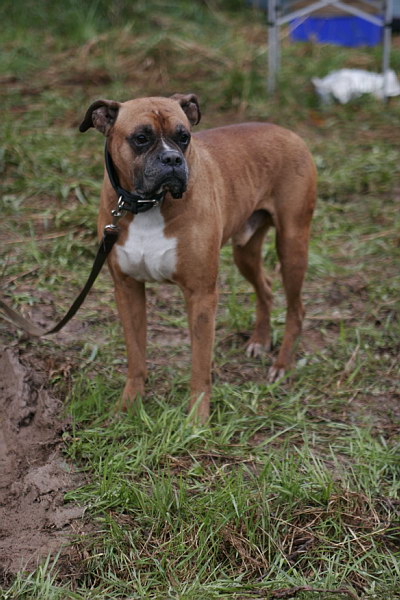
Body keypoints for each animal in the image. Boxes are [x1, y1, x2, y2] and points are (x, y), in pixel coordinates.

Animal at [79, 94, 316, 422]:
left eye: (184, 137)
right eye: (141, 138)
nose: (172, 160)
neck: (148, 205)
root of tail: (288, 132)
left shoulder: (201, 295)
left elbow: (200, 366)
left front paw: (196, 421)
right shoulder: (128, 290)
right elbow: (136, 356)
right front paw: (128, 407)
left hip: (292, 245)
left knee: (296, 308)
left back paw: (282, 364)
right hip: (245, 252)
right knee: (265, 288)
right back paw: (260, 340)